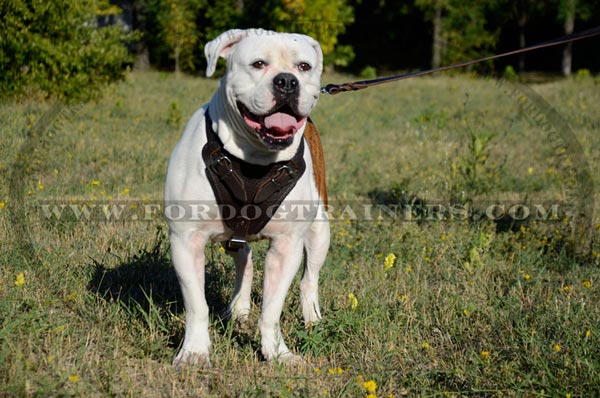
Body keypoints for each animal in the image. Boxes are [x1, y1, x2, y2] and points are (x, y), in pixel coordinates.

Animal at [164, 29, 330, 368]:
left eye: (304, 67)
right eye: (258, 64)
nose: (287, 81)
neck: (255, 157)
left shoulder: (287, 246)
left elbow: (272, 309)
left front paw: (277, 353)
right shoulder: (185, 241)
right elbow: (197, 305)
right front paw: (194, 353)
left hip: (321, 230)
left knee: (309, 279)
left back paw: (312, 318)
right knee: (245, 261)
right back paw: (239, 309)